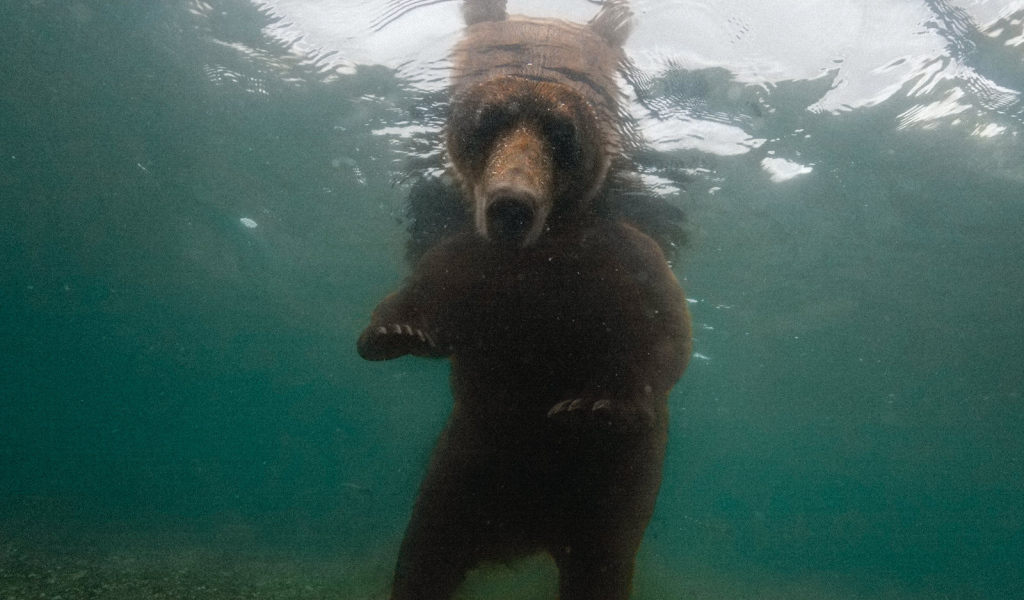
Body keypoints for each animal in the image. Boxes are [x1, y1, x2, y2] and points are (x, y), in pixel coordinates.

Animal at [357, 1, 692, 598]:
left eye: (561, 131)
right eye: (489, 120)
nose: (511, 204)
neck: (544, 252)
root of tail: (524, 534)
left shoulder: (622, 258)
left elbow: (662, 332)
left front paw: (596, 404)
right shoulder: (474, 260)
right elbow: (426, 291)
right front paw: (395, 332)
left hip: (607, 498)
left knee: (599, 568)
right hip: (462, 471)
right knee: (425, 555)